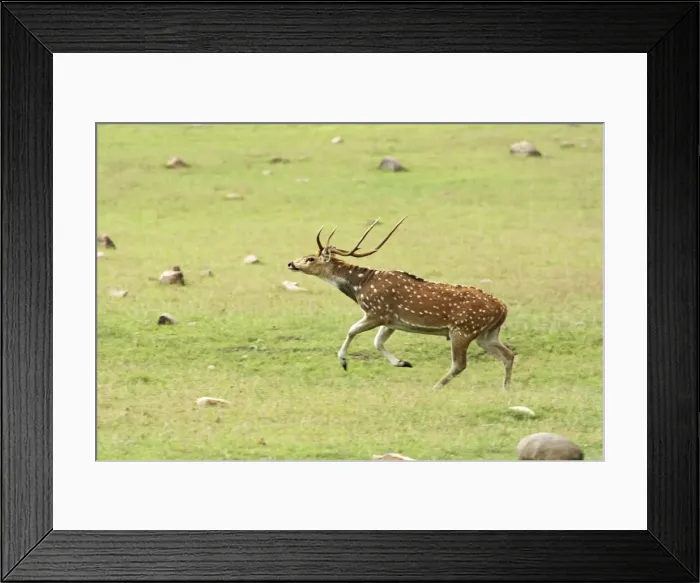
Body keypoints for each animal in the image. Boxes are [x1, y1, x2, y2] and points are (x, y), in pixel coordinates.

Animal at [287, 217, 515, 392]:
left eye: (310, 259)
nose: (290, 263)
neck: (360, 286)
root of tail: (503, 308)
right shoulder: (391, 321)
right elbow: (377, 342)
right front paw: (403, 363)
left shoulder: (376, 312)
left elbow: (352, 330)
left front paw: (343, 362)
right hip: (487, 334)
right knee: (508, 355)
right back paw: (505, 389)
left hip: (463, 329)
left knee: (460, 364)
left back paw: (436, 387)